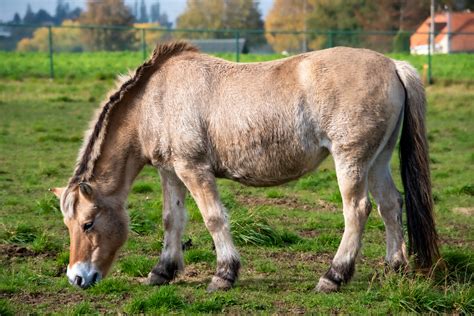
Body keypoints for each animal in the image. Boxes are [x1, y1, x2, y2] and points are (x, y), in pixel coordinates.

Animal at [50, 40, 438, 292]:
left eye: (87, 224)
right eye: (69, 225)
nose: (77, 278)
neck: (155, 99)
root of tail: (393, 64)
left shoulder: (193, 169)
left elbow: (213, 218)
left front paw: (224, 274)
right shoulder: (170, 171)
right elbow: (172, 219)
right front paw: (162, 272)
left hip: (352, 160)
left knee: (357, 210)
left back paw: (334, 276)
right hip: (378, 160)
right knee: (390, 204)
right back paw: (394, 266)